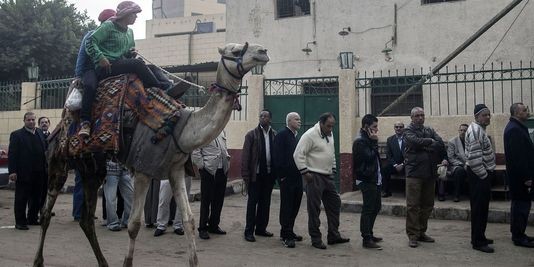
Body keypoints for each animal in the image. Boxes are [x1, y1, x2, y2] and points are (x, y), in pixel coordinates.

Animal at [32, 43, 268, 266]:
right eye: (235, 51)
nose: (263, 52)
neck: (180, 129)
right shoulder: (143, 170)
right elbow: (134, 224)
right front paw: (127, 262)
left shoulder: (176, 170)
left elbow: (189, 220)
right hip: (58, 162)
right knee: (46, 212)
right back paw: (38, 260)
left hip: (91, 169)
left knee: (86, 219)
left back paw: (103, 262)